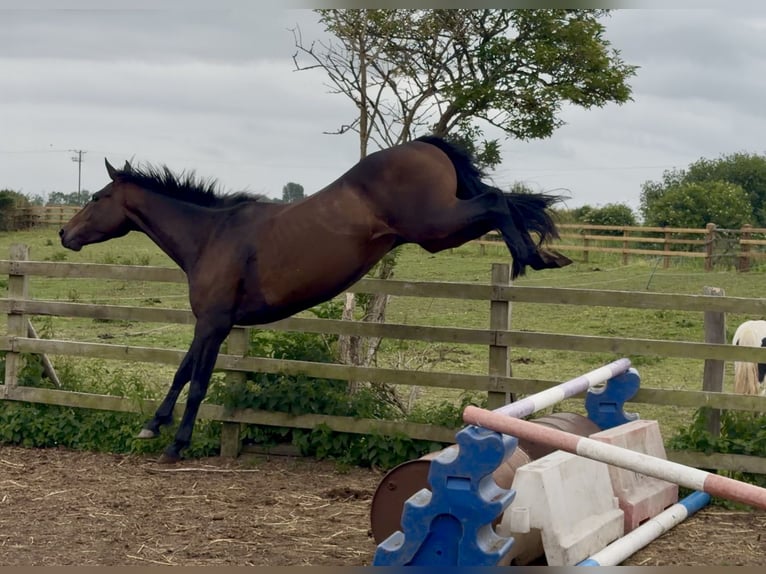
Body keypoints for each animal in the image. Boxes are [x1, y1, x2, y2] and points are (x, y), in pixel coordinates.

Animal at [59, 135, 572, 462]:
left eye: (98, 196)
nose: (65, 234)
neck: (212, 235)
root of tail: (424, 145)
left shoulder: (214, 323)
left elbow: (198, 381)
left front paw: (175, 444)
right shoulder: (211, 323)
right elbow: (183, 372)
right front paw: (153, 425)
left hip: (435, 226)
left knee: (497, 202)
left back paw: (532, 257)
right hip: (440, 230)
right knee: (500, 201)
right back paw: (544, 256)